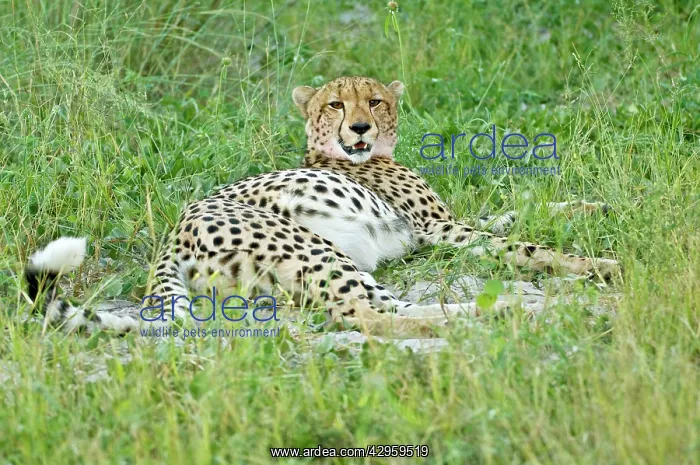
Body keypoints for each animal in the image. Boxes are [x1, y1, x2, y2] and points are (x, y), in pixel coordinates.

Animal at [24, 76, 620, 337]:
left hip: (334, 265)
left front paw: (595, 207)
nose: (358, 128)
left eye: (374, 101)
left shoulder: (442, 227)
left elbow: (517, 210)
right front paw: (597, 265)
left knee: (391, 309)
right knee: (366, 318)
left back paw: (518, 309)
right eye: (335, 104)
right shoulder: (440, 229)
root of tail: (174, 232)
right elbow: (523, 243)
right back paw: (532, 310)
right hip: (315, 249)